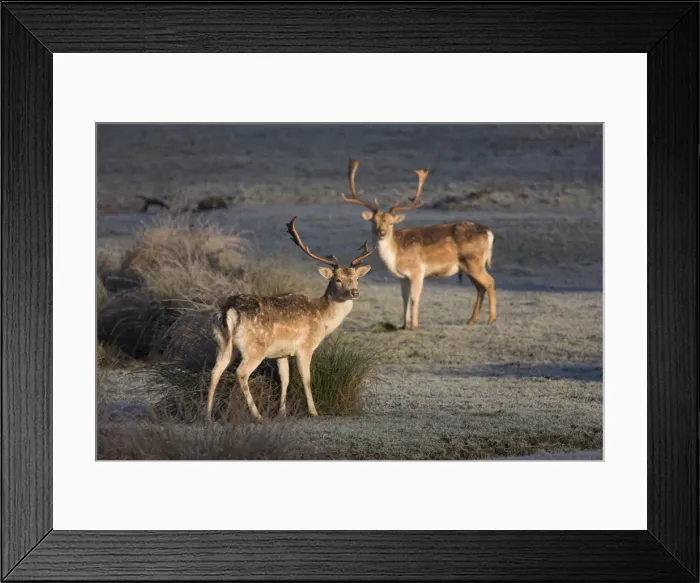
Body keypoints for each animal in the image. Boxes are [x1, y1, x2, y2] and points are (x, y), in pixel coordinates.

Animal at [207, 216, 375, 422]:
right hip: (255, 347)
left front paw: (282, 413)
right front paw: (314, 411)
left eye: (356, 278)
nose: (355, 292)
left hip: (223, 344)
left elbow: (285, 379)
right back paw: (257, 415)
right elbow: (306, 379)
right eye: (337, 279)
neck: (322, 318)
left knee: (215, 371)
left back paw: (207, 415)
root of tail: (230, 310)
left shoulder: (282, 353)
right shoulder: (305, 347)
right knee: (241, 373)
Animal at [341, 158, 496, 330]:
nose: (381, 232)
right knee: (480, 287)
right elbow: (404, 298)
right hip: (469, 266)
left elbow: (415, 298)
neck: (396, 256)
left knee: (490, 282)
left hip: (474, 262)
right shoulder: (402, 277)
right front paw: (403, 324)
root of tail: (489, 233)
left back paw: (491, 319)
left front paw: (414, 325)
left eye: (391, 223)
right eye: (374, 222)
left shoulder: (417, 271)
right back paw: (472, 320)